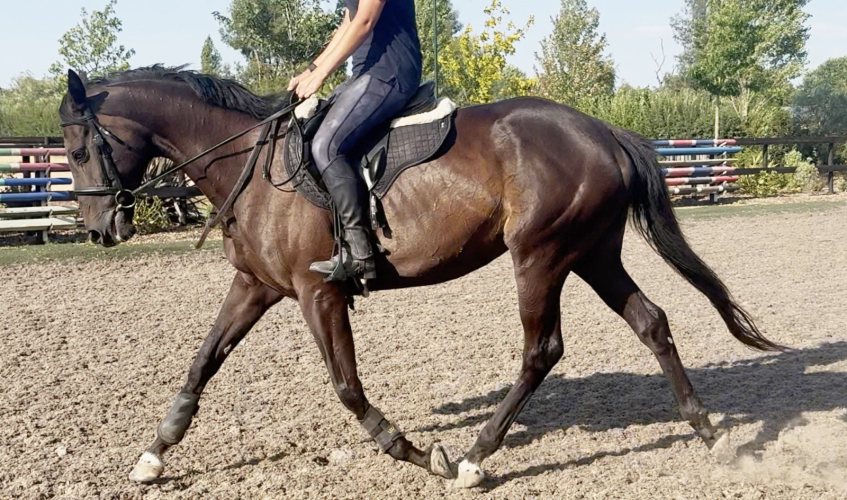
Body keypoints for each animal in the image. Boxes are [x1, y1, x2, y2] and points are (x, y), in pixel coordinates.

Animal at [58, 66, 781, 488]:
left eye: (77, 146)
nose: (98, 230)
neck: (250, 163)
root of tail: (601, 130)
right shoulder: (257, 286)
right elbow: (202, 361)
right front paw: (154, 454)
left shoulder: (318, 293)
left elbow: (347, 388)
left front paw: (412, 451)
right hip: (592, 254)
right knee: (651, 323)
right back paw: (709, 432)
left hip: (541, 255)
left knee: (542, 349)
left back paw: (473, 458)